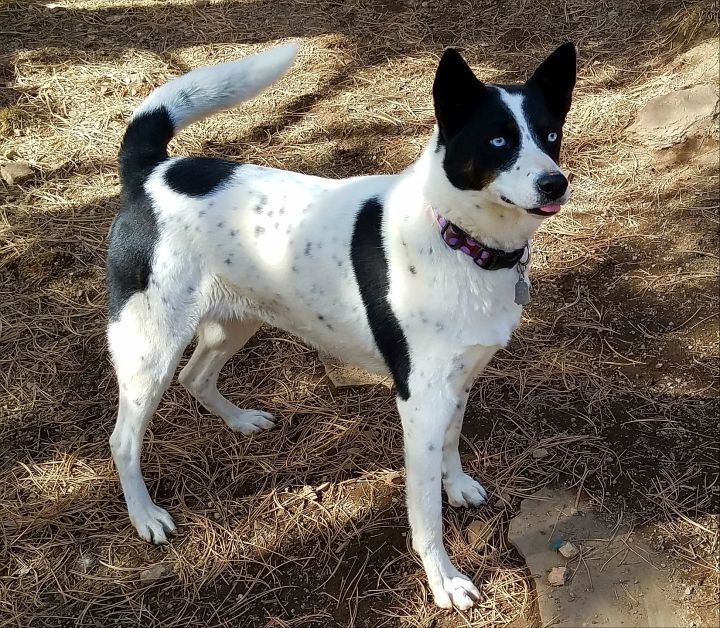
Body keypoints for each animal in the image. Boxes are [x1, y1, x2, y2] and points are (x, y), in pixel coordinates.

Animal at [107, 40, 576, 608]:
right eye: (499, 140)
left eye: (549, 134)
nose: (555, 182)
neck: (457, 237)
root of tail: (151, 172)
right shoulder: (419, 401)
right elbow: (426, 514)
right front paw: (443, 579)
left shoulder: (459, 382)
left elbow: (452, 441)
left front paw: (457, 484)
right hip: (148, 349)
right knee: (123, 440)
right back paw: (145, 516)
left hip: (235, 322)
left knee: (195, 376)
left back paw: (240, 421)